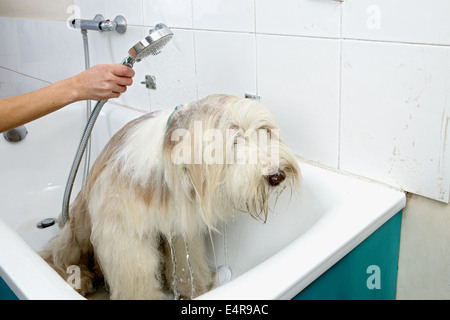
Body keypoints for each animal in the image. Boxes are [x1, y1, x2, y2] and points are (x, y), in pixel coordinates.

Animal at [42, 94, 300, 298]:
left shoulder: (180, 225)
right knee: (57, 255)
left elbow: (187, 260)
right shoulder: (123, 236)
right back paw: (80, 278)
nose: (277, 175)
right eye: (235, 140)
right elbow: (137, 271)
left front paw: (195, 288)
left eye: (264, 131)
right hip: (78, 230)